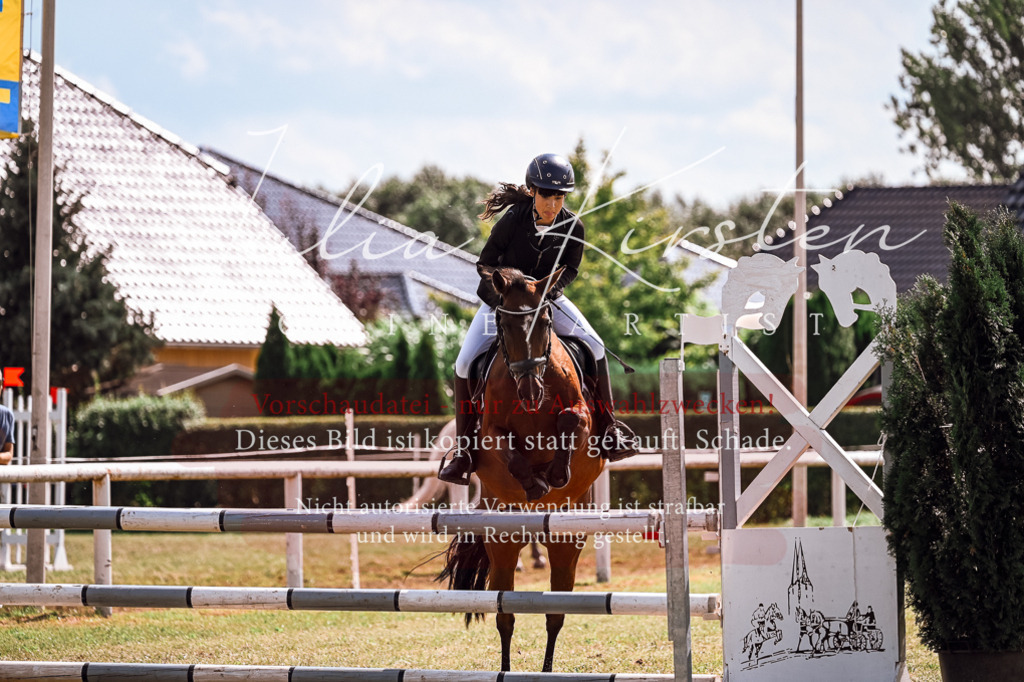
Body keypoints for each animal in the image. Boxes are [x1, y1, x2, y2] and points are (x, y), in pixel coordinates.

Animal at [439, 265, 602, 673]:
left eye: (544, 322)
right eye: (503, 324)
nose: (530, 392)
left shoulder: (583, 417)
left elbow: (571, 419)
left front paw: (556, 474)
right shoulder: (491, 435)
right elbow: (509, 451)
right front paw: (535, 482)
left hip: (566, 541)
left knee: (555, 612)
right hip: (503, 539)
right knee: (505, 614)